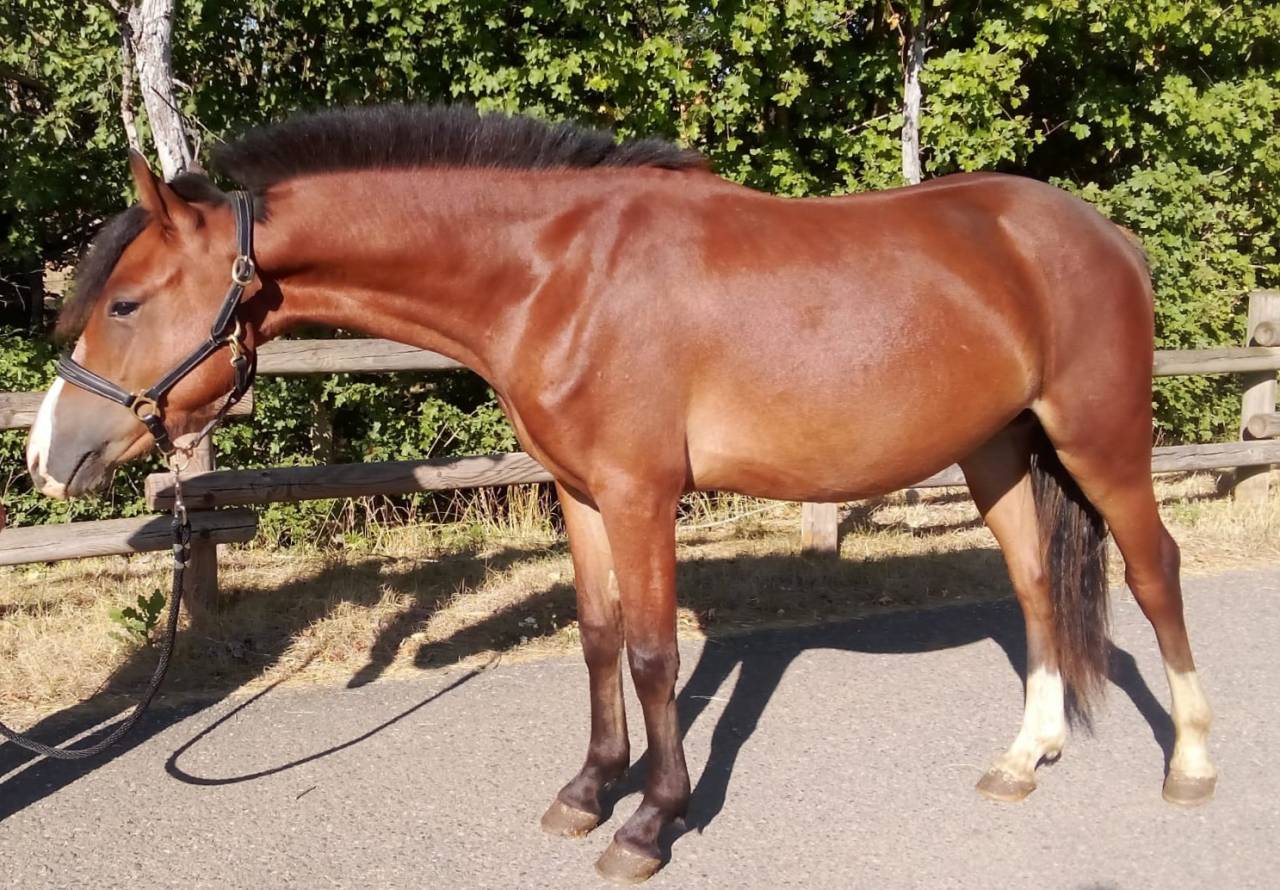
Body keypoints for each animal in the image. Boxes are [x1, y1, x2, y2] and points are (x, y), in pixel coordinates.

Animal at [26, 105, 1215, 883]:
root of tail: (1103, 235)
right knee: (1034, 586)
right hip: (998, 452)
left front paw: (650, 822)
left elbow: (650, 652)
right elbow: (598, 638)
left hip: (1101, 439)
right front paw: (587, 791)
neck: (556, 274)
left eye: (126, 302)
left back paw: (1193, 765)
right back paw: (1023, 758)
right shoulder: (582, 494)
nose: (48, 453)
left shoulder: (642, 493)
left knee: (1155, 572)